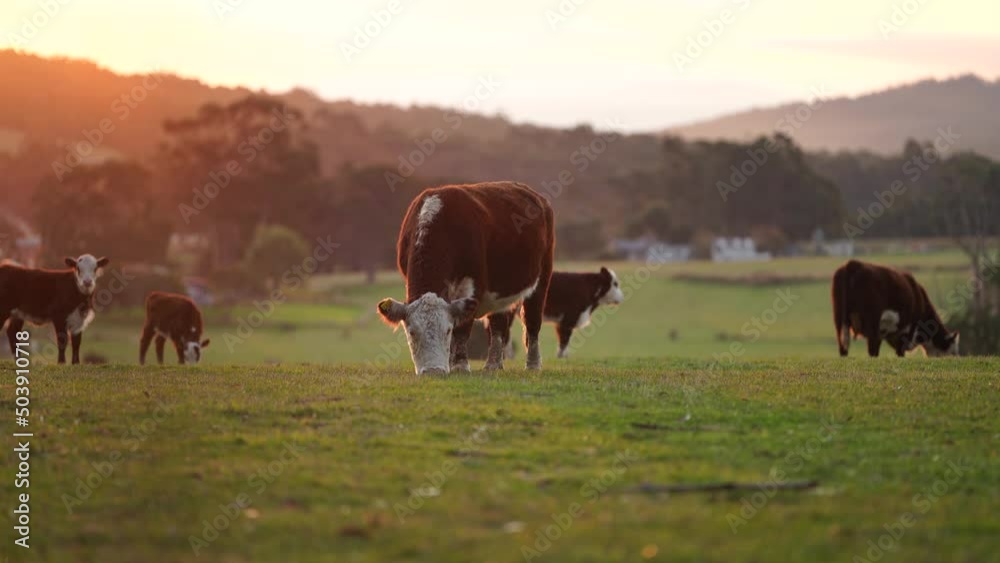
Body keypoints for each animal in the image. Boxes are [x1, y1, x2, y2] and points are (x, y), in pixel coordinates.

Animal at [376, 181, 555, 374]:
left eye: (447, 330)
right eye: (411, 332)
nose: (433, 370)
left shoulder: (471, 286)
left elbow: (461, 329)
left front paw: (460, 365)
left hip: (542, 278)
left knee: (532, 322)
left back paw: (533, 364)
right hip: (500, 291)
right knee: (498, 325)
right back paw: (493, 364)